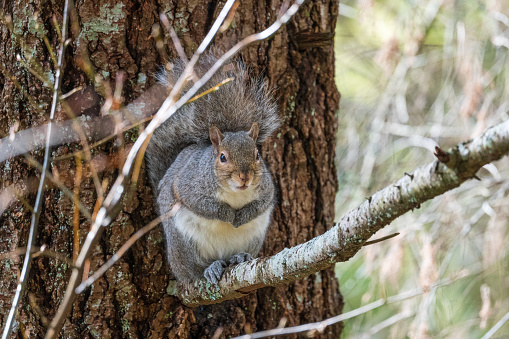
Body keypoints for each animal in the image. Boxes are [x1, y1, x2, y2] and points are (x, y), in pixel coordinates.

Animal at [145, 55, 280, 284]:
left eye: (257, 155)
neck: (235, 194)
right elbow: (204, 206)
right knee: (193, 270)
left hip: (253, 238)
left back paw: (239, 257)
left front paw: (243, 216)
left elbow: (261, 204)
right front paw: (228, 215)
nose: (245, 177)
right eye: (222, 157)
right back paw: (210, 268)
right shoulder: (188, 185)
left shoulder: (266, 188)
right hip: (183, 244)